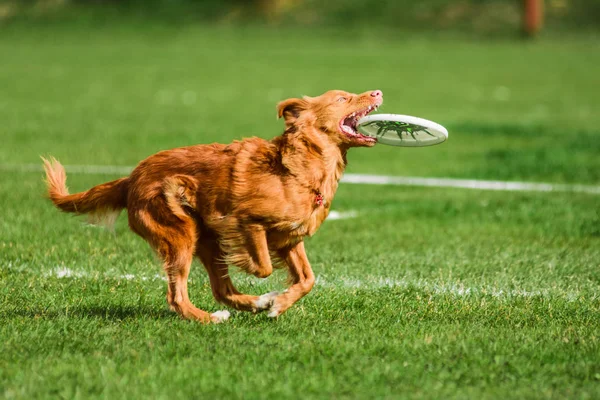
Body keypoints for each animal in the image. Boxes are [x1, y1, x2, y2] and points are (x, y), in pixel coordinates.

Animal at [44, 89, 384, 324]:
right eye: (342, 98)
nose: (378, 92)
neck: (297, 168)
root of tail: (131, 178)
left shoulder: (289, 238)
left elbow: (307, 279)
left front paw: (278, 304)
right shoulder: (244, 221)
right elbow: (263, 265)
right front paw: (261, 281)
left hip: (203, 239)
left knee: (220, 289)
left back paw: (253, 304)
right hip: (181, 234)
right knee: (177, 295)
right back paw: (210, 318)